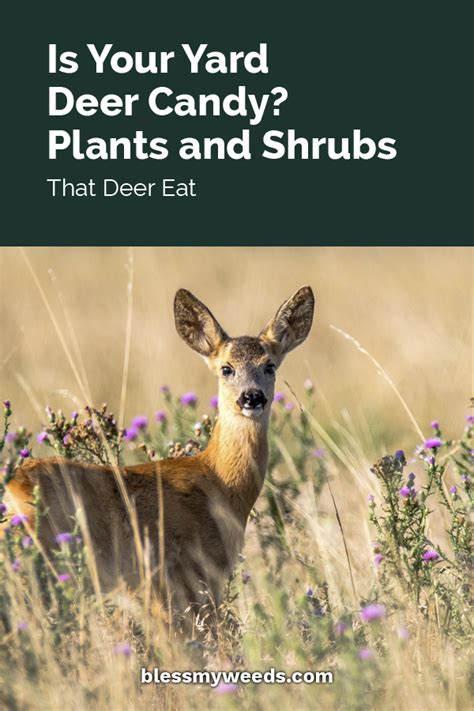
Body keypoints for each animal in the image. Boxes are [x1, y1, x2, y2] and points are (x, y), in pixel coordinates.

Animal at [4, 286, 315, 623]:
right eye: (226, 368)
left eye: (269, 365)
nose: (252, 397)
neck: (219, 482)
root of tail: (12, 488)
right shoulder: (187, 576)